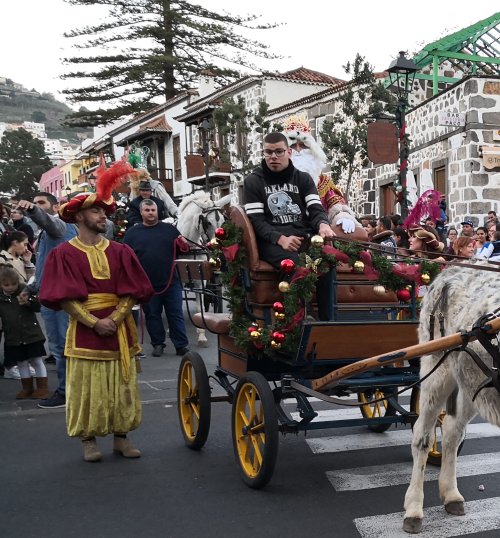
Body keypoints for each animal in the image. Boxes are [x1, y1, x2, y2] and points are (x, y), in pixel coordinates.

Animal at [176, 191, 232, 346]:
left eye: (223, 221)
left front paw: (201, 333)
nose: (217, 248)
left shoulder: (200, 281)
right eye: (208, 222)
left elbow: (199, 306)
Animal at [402, 262, 500, 528]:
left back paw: (451, 494)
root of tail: (447, 270)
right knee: (422, 436)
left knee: (451, 431)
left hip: (471, 384)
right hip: (436, 372)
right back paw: (413, 508)